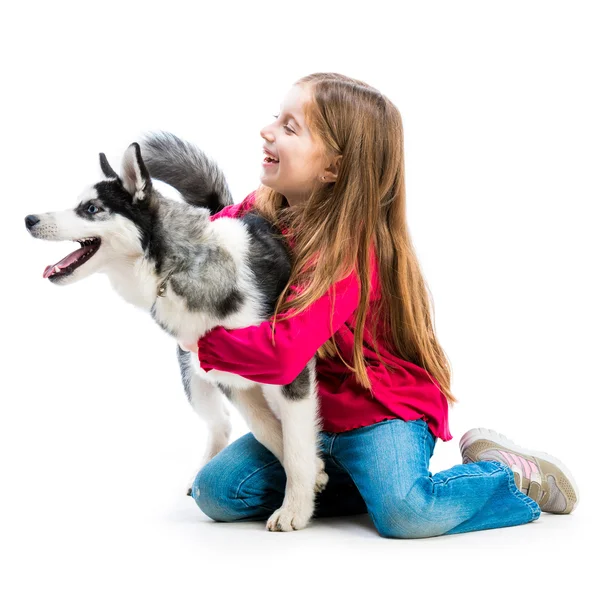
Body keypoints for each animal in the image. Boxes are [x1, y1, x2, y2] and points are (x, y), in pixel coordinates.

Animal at [24, 134, 328, 532]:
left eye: (90, 208)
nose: (28, 219)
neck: (176, 267)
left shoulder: (289, 370)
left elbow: (294, 444)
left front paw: (295, 507)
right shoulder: (226, 374)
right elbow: (267, 430)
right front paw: (315, 475)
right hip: (194, 377)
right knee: (220, 423)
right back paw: (201, 470)